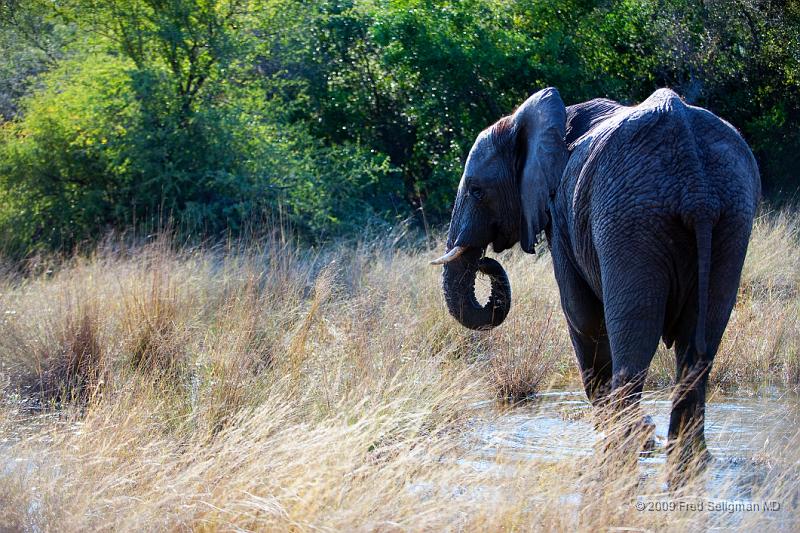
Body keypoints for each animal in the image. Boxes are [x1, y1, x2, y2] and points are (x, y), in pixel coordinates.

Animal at [434, 87, 760, 466]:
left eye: (475, 190)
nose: (486, 261)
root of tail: (697, 188)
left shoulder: (559, 217)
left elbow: (581, 315)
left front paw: (619, 435)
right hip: (732, 217)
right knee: (701, 341)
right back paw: (688, 457)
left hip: (631, 221)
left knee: (633, 334)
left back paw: (627, 445)